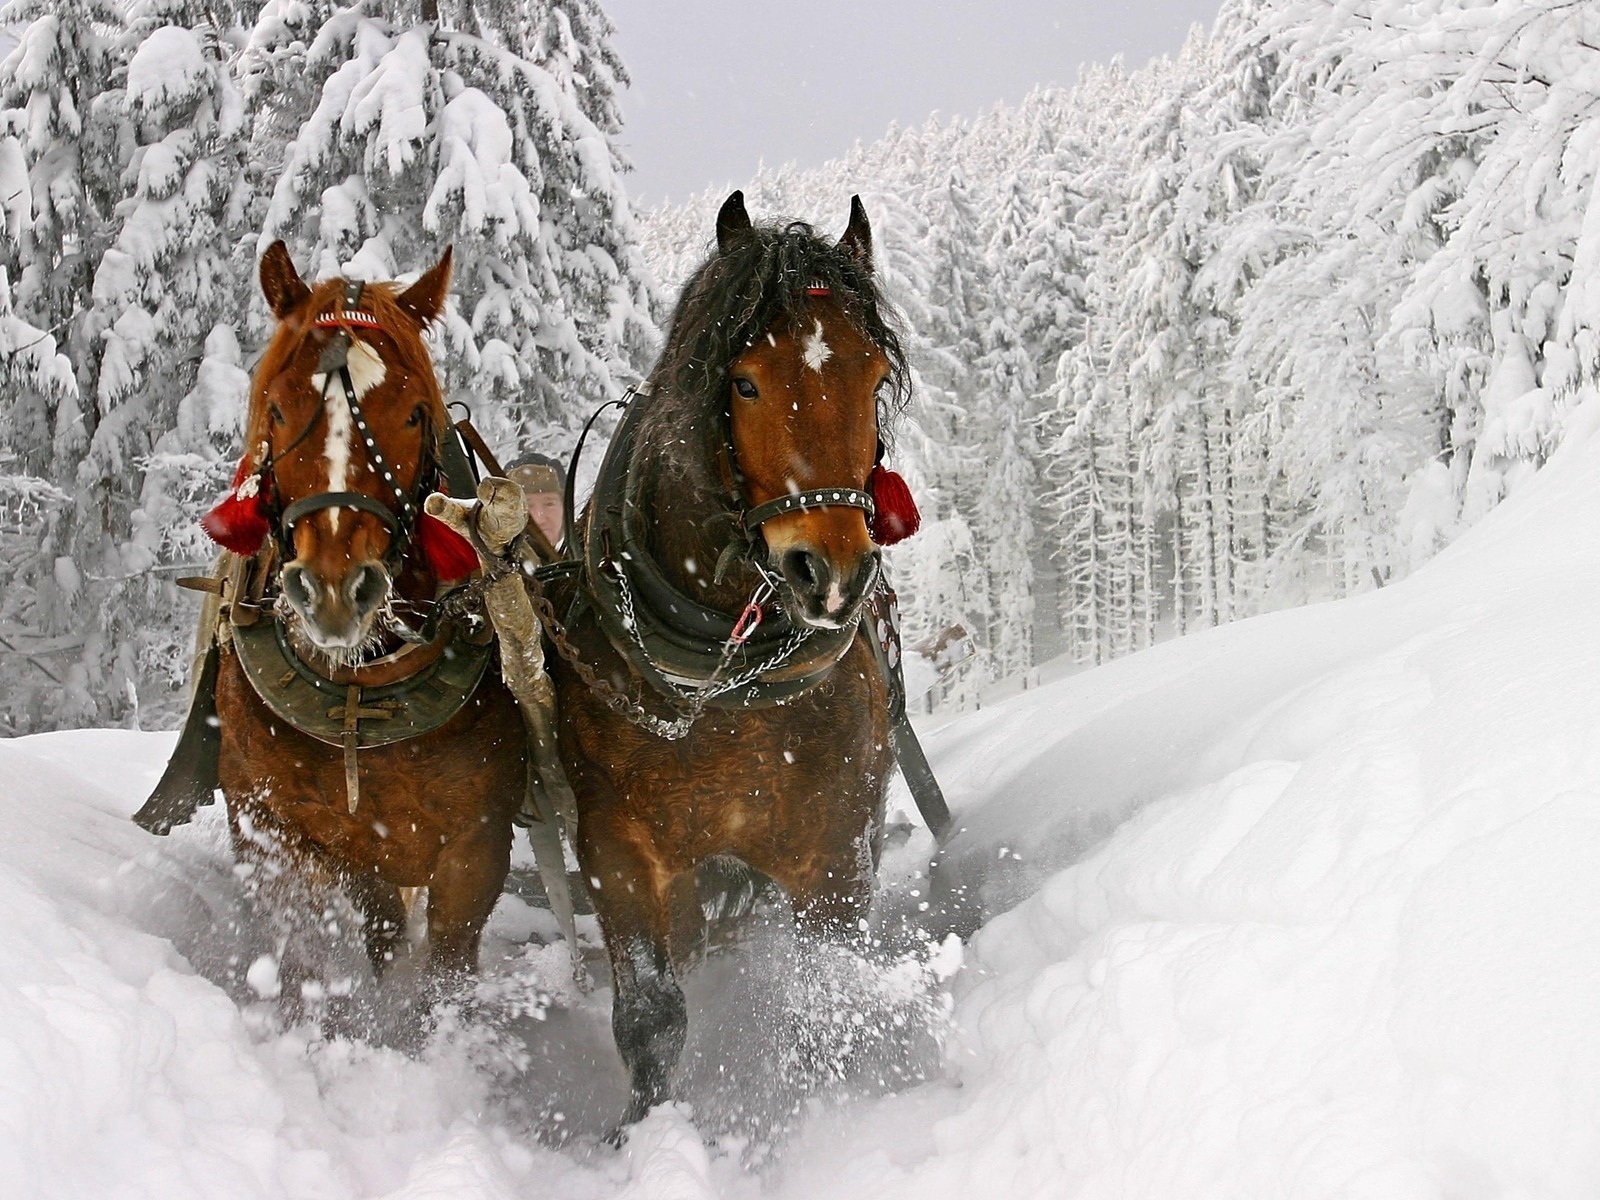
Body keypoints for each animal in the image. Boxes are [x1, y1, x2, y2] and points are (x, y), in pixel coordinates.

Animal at [191, 244, 525, 1024]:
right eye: (278, 407)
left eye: (413, 413)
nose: (336, 590)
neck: (362, 692)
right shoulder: (277, 831)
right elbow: (306, 957)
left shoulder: (476, 845)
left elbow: (446, 973)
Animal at [541, 192, 914, 1127]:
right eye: (743, 381)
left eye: (872, 379)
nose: (831, 572)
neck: (725, 684)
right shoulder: (618, 851)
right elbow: (651, 1017)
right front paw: (643, 1134)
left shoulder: (836, 848)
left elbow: (828, 996)